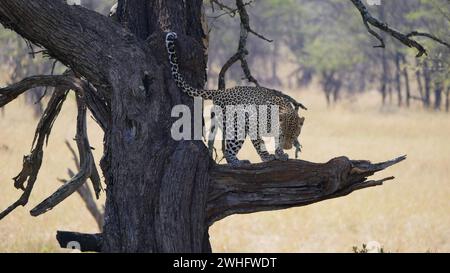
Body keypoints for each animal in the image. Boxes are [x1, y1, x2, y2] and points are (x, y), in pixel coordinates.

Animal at [165, 30, 306, 165]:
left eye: (294, 135)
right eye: (284, 135)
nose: (288, 147)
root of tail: (221, 92)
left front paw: (280, 153)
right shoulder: (252, 123)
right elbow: (259, 143)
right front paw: (267, 157)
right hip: (237, 125)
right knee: (228, 150)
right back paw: (237, 162)